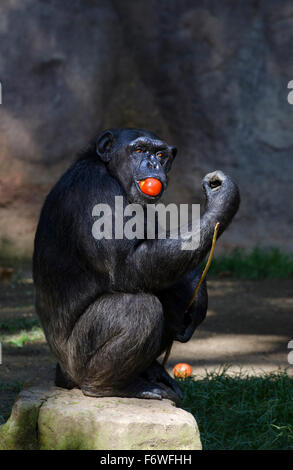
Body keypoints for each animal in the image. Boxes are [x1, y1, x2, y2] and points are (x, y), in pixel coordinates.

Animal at [33, 127, 240, 400]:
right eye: (139, 150)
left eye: (160, 154)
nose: (152, 163)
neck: (110, 171)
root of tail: (61, 379)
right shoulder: (97, 189)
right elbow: (126, 266)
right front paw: (222, 201)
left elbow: (161, 247)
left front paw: (198, 301)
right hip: (75, 362)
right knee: (137, 308)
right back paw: (112, 387)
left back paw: (152, 371)